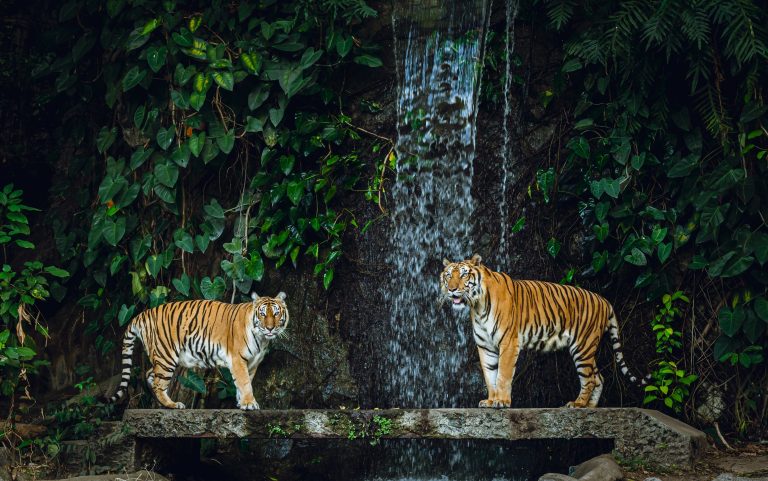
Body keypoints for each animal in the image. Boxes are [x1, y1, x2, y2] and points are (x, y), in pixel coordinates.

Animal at [108, 292, 289, 410]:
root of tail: (143, 314)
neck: (262, 339)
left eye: (276, 314)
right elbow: (244, 383)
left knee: (150, 375)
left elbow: (246, 382)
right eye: (263, 314)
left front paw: (241, 403)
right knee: (159, 383)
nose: (270, 328)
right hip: (166, 356)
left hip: (163, 358)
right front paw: (249, 403)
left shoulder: (252, 363)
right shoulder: (238, 359)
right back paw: (173, 405)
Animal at [440, 254, 647, 408]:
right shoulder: (485, 346)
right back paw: (590, 406)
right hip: (587, 348)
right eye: (448, 275)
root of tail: (604, 300)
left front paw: (502, 401)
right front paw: (491, 401)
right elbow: (490, 376)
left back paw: (578, 404)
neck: (478, 306)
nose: (452, 289)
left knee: (588, 379)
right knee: (598, 377)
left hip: (582, 346)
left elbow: (503, 375)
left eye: (464, 275)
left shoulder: (508, 342)